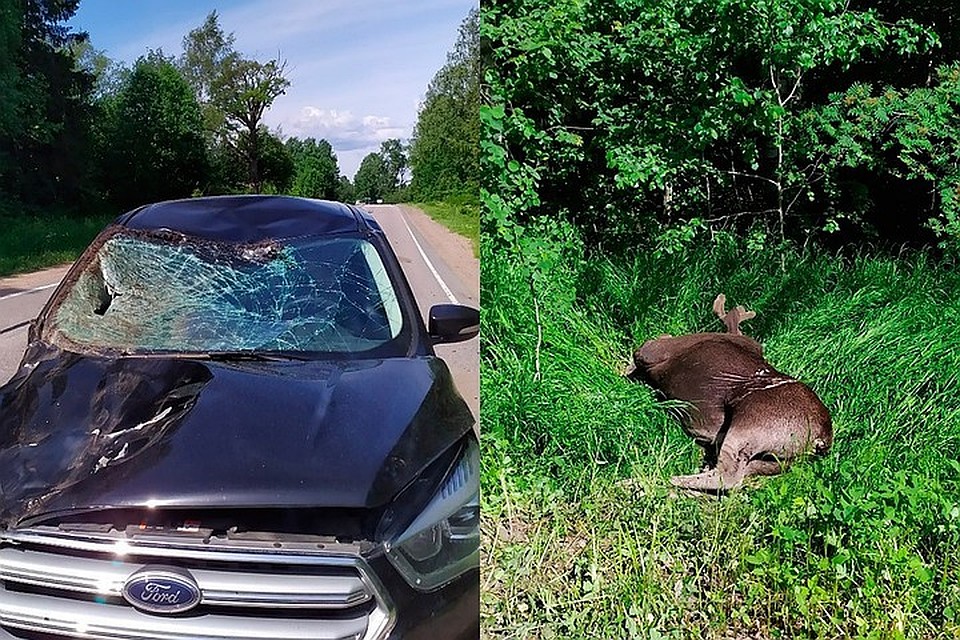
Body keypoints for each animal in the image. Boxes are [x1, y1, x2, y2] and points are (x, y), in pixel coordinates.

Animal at [632, 292, 832, 492]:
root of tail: (822, 438)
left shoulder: (653, 350)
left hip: (750, 423)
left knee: (730, 476)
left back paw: (675, 479)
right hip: (782, 461)